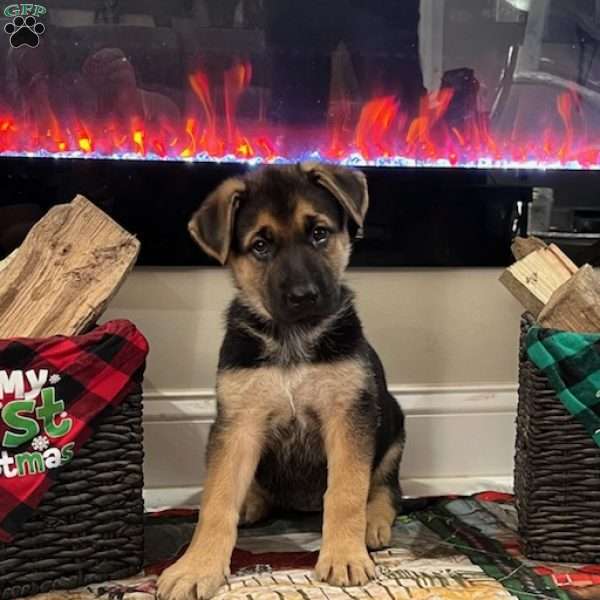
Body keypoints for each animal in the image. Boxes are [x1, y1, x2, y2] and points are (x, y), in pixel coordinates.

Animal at [157, 164, 406, 600]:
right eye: (260, 246)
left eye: (319, 233)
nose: (304, 296)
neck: (293, 337)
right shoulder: (238, 424)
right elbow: (216, 502)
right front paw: (197, 566)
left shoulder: (348, 416)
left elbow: (346, 491)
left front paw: (344, 555)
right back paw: (251, 502)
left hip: (391, 421)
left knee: (386, 488)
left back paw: (373, 522)